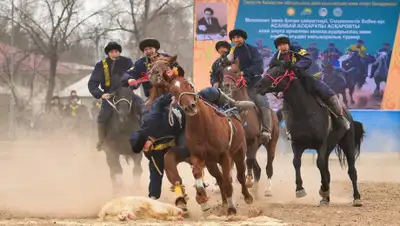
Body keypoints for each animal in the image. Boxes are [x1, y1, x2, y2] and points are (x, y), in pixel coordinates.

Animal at [162, 73, 253, 215]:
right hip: (211, 163)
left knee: (239, 176)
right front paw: (202, 198)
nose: (190, 107)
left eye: (188, 84)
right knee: (220, 179)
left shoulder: (225, 156)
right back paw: (224, 203)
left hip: (239, 152)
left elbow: (228, 182)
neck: (204, 127)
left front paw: (232, 209)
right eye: (173, 91)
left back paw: (247, 197)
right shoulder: (198, 156)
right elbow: (197, 174)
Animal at [220, 59, 280, 197]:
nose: (226, 86)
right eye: (224, 71)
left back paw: (268, 190)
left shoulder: (255, 140)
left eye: (236, 71)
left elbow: (249, 160)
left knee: (268, 166)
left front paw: (248, 182)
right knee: (257, 168)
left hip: (271, 143)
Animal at [256, 65, 366, 207]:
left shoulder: (321, 144)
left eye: (279, 71)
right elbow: (297, 163)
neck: (305, 112)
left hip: (347, 145)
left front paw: (323, 189)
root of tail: (349, 115)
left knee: (352, 171)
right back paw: (326, 198)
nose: (258, 85)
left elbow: (319, 164)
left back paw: (356, 198)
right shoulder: (297, 144)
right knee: (327, 170)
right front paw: (300, 189)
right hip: (328, 149)